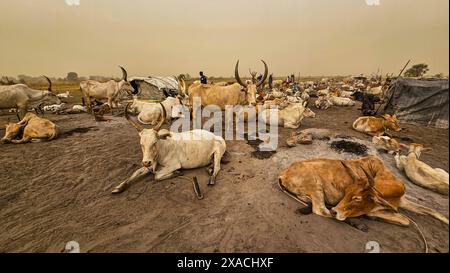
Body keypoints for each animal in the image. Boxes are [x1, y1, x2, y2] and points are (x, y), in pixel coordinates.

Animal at [280, 155, 448, 225]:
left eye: (357, 198)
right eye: (346, 192)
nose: (336, 210)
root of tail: (284, 173)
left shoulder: (403, 201)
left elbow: (431, 211)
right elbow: (405, 220)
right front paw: (370, 216)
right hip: (316, 187)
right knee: (322, 211)